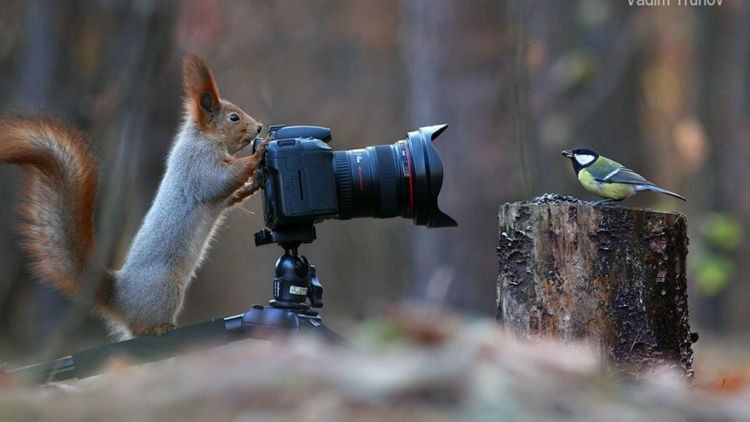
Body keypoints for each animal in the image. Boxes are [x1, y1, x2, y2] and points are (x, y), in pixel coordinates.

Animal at [0, 53, 274, 340]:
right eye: (233, 117)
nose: (259, 127)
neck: (203, 138)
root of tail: (120, 299)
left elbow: (229, 196)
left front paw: (254, 182)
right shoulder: (197, 167)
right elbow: (220, 180)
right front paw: (258, 154)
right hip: (166, 290)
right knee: (141, 328)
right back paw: (160, 327)